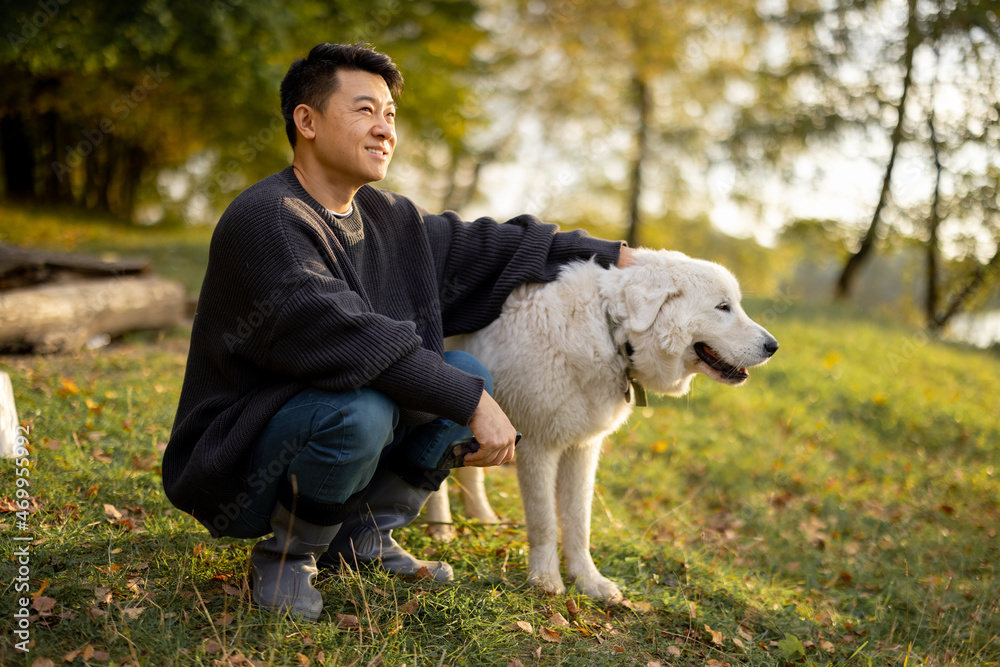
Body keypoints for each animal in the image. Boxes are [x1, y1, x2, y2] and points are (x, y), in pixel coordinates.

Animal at [426, 250, 776, 604]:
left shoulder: (582, 448)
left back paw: (480, 516)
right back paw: (441, 528)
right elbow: (544, 521)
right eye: (723, 307)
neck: (610, 332)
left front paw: (589, 581)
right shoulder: (538, 446)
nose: (773, 346)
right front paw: (545, 580)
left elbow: (579, 522)